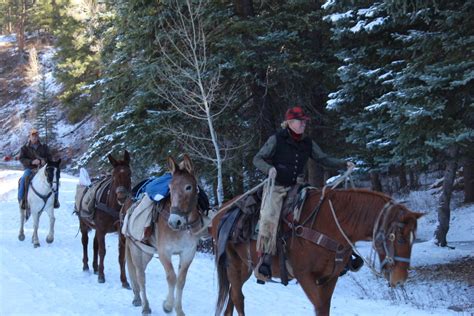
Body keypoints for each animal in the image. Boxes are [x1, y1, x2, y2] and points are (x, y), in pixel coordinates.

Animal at [78, 150, 131, 286]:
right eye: (114, 176)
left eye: (129, 174)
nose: (122, 197)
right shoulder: (101, 230)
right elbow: (102, 251)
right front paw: (101, 276)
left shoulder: (120, 232)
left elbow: (121, 255)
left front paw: (124, 280)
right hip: (83, 224)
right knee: (85, 242)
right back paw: (86, 266)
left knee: (94, 244)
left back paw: (95, 267)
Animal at [123, 156, 206, 316]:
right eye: (170, 188)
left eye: (188, 187)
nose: (174, 221)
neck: (182, 228)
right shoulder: (164, 253)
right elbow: (171, 277)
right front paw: (167, 306)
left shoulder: (188, 253)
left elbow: (181, 281)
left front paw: (179, 310)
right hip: (136, 250)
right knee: (140, 276)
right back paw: (145, 306)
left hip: (147, 252)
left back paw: (138, 298)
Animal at [213, 189, 424, 314]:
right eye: (399, 238)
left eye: (414, 240)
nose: (400, 279)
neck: (329, 226)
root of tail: (219, 213)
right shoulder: (305, 276)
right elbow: (319, 307)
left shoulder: (329, 278)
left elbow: (324, 308)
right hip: (232, 262)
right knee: (238, 297)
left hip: (246, 266)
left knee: (233, 294)